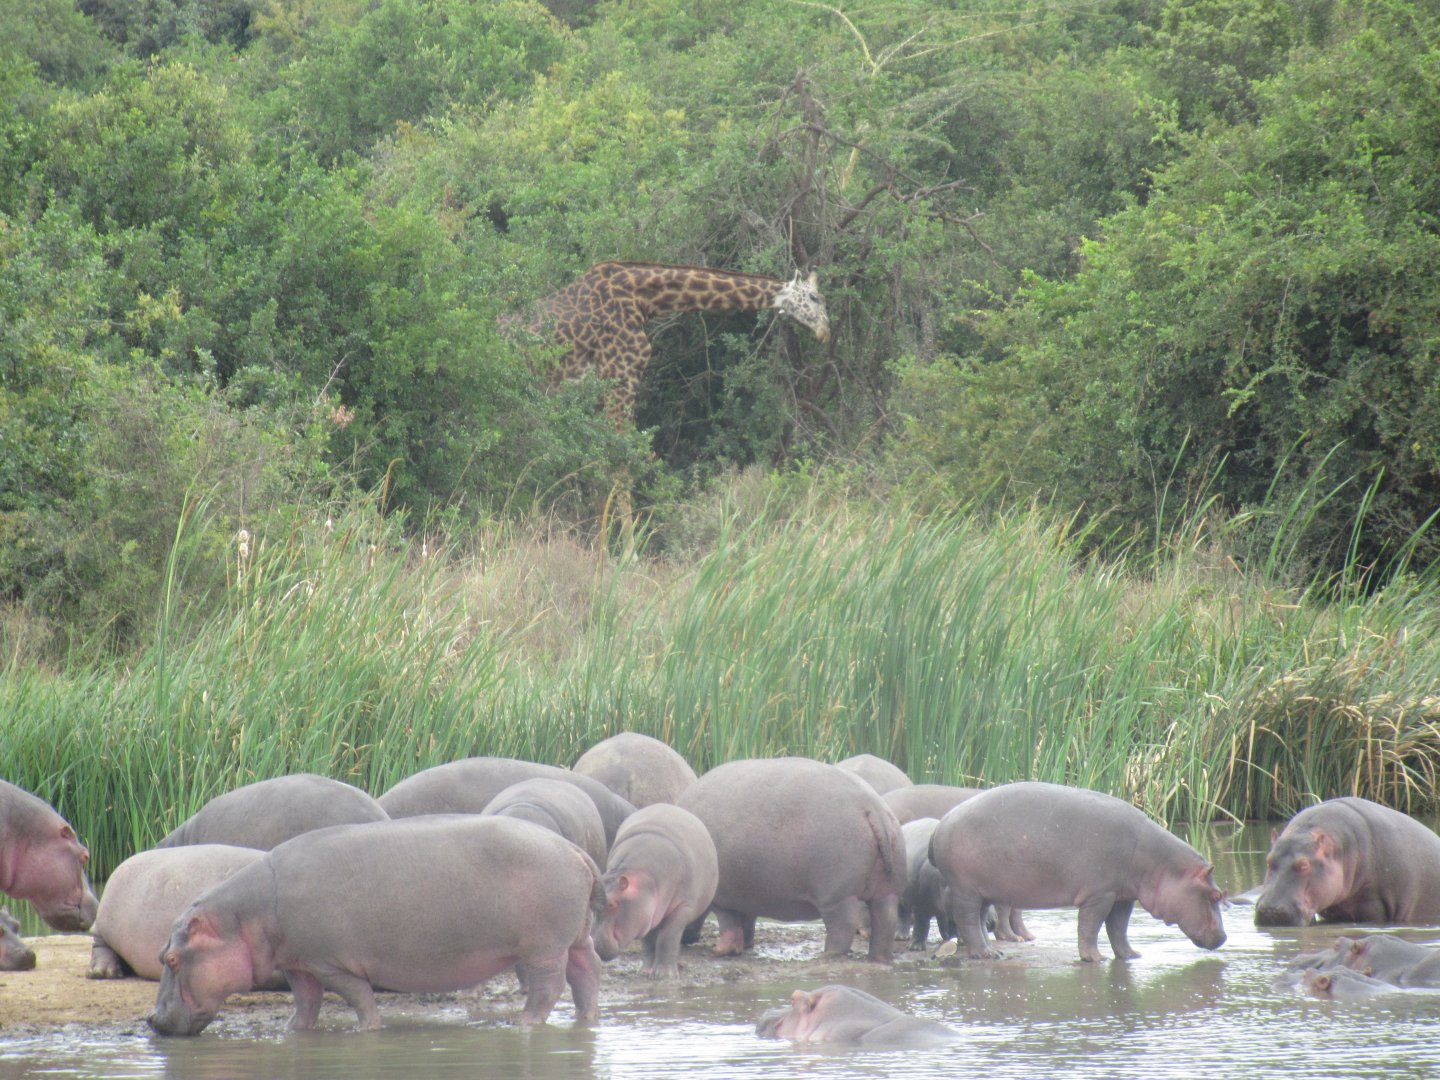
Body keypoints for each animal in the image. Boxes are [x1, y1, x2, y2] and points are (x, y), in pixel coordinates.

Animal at [147, 815, 603, 1035]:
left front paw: (367, 1030)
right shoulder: (298, 963)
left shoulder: (330, 963)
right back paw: (587, 1020)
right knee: (588, 973)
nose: (151, 1020)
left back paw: (524, 1024)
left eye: (171, 959)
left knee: (549, 987)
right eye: (161, 953)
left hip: (544, 946)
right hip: (576, 937)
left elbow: (357, 997)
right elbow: (306, 1001)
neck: (243, 917)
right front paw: (294, 1033)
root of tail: (574, 850)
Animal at [591, 803, 718, 977]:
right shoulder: (645, 915)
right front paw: (646, 970)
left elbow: (668, 938)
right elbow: (649, 941)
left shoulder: (682, 907)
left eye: (611, 904)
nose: (594, 945)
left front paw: (665, 974)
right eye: (591, 904)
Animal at [678, 757, 905, 962]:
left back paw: (826, 956)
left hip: (837, 896)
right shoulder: (746, 893)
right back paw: (879, 959)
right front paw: (747, 945)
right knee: (886, 922)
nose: (685, 941)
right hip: (886, 891)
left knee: (843, 925)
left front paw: (719, 952)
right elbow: (747, 921)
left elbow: (729, 924)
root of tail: (874, 810)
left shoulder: (723, 897)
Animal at [930, 781, 1226, 962]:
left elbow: (1118, 928)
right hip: (965, 890)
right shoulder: (1100, 894)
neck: (1161, 863)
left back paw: (993, 952)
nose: (1224, 937)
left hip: (982, 890)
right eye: (1216, 895)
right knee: (968, 920)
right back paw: (986, 954)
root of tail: (941, 825)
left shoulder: (1122, 896)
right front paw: (1095, 959)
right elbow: (1090, 926)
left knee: (979, 920)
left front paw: (1131, 955)